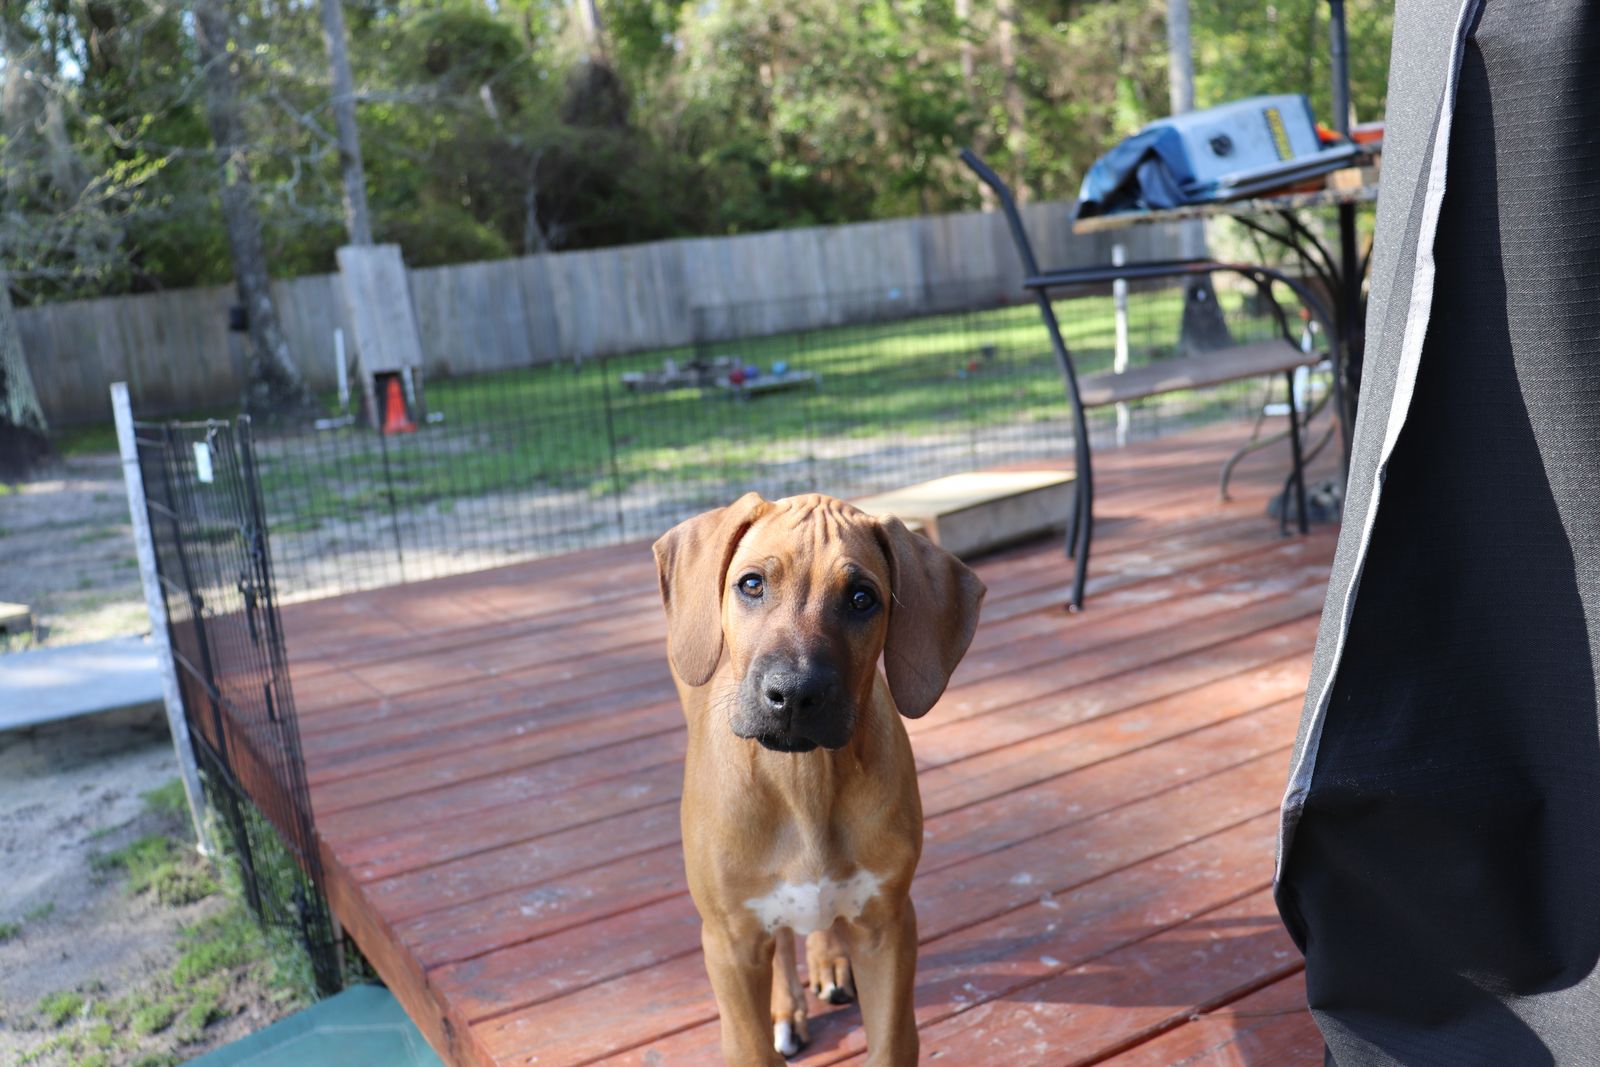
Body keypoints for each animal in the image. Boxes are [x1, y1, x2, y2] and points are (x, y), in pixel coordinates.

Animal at [653, 491, 985, 1065]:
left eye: (862, 599)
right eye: (752, 584)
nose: (793, 694)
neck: (803, 778)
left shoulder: (887, 927)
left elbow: (892, 1041)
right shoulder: (729, 941)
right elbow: (751, 1046)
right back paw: (787, 1006)